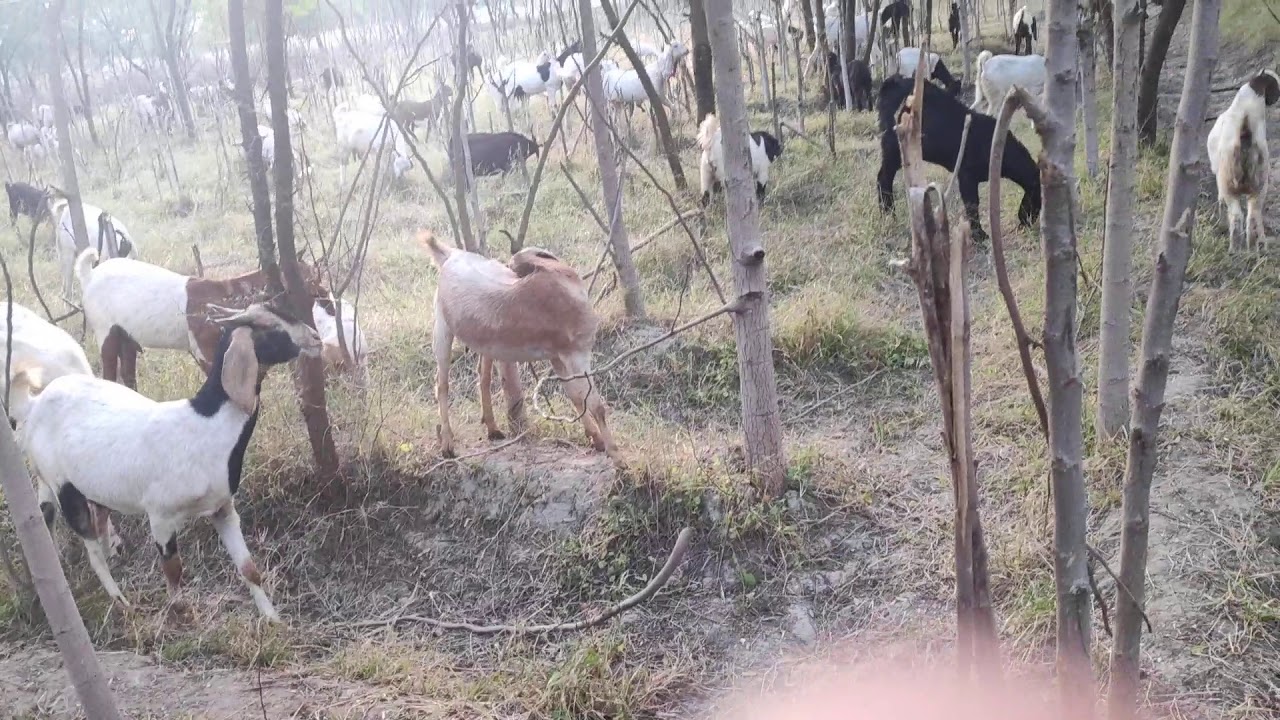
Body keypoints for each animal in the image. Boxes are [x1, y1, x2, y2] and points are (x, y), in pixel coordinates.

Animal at [18, 302, 321, 622]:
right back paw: (121, 601)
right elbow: (173, 572)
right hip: (64, 486)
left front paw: (274, 620)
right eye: (271, 328)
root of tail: (35, 404)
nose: (315, 338)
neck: (206, 424)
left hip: (74, 483)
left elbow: (249, 568)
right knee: (91, 548)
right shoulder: (160, 515)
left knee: (59, 517)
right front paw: (182, 615)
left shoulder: (223, 507)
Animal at [75, 249, 325, 388]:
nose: (324, 292)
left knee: (128, 372)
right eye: (307, 278)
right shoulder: (204, 350)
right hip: (104, 329)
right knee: (109, 372)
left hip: (126, 334)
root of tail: (89, 274)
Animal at [420, 231, 619, 461]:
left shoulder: (558, 357)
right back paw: (448, 445)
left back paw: (493, 429)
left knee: (483, 376)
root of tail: (450, 255)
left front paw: (597, 440)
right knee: (442, 384)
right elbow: (594, 403)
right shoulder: (576, 354)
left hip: (483, 343)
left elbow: (576, 396)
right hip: (442, 326)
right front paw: (617, 456)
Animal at [876, 75, 1041, 242]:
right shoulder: (966, 174)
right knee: (883, 179)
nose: (1026, 224)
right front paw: (979, 235)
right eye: (1038, 199)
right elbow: (972, 204)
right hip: (893, 148)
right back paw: (889, 215)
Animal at [1207, 69, 1280, 251]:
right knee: (1253, 217)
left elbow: (1220, 202)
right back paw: (1254, 248)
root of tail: (1245, 129)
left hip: (1229, 185)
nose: (1276, 98)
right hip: (1259, 186)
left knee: (1236, 216)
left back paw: (1234, 249)